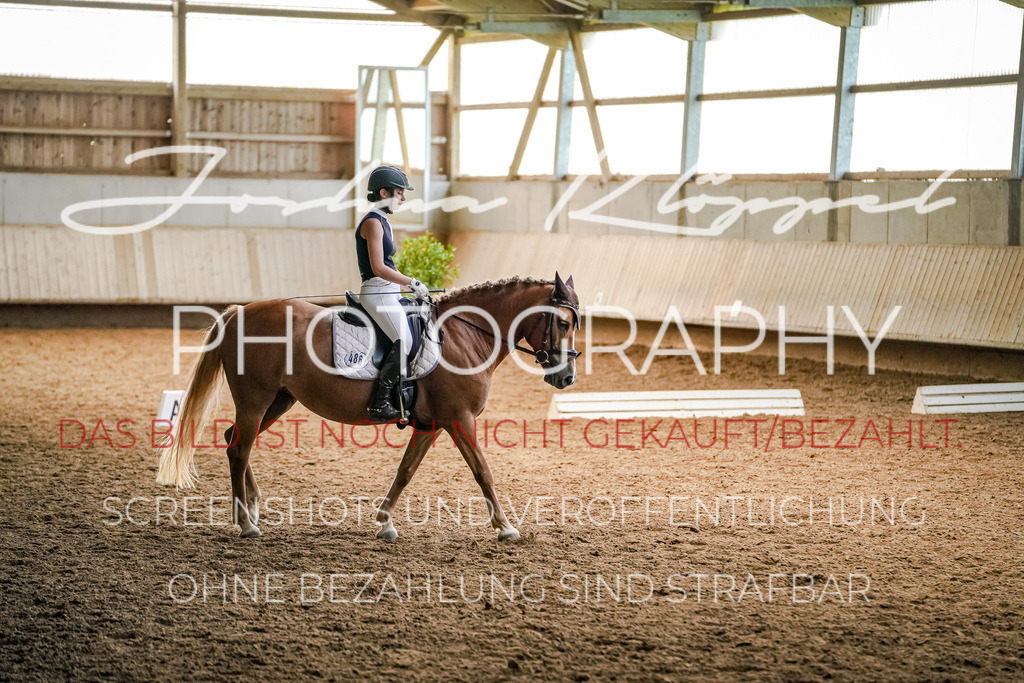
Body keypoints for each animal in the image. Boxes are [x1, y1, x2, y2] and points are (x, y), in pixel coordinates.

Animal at [155, 274, 581, 540]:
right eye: (562, 323)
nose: (567, 378)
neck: (463, 336)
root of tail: (238, 312)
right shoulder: (459, 419)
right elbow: (483, 472)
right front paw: (506, 527)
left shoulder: (431, 424)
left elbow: (405, 471)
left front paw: (385, 522)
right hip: (256, 398)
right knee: (239, 448)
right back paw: (246, 524)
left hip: (277, 399)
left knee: (235, 442)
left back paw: (253, 509)